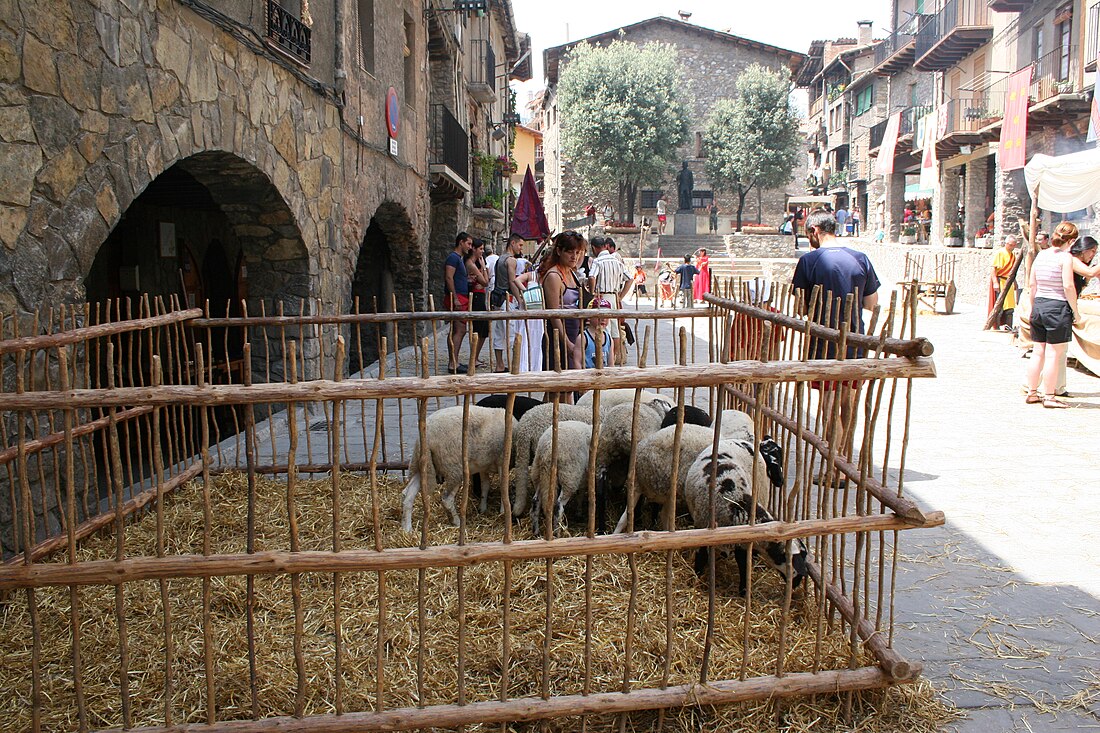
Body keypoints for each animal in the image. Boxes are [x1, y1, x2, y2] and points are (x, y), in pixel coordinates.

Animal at [682, 433, 805, 594]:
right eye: (795, 562)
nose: (796, 585)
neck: (736, 504)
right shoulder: (702, 529)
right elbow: (701, 557)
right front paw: (697, 578)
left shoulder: (743, 540)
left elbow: (743, 563)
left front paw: (743, 590)